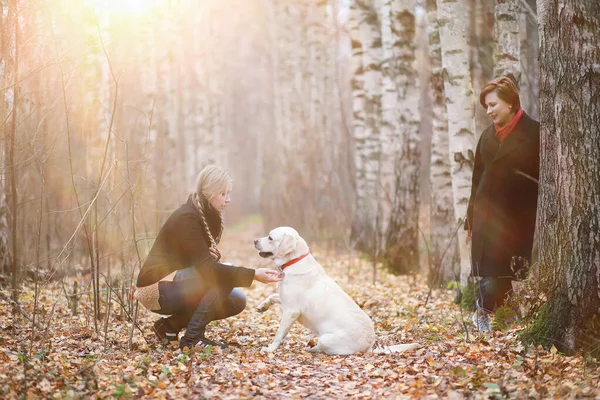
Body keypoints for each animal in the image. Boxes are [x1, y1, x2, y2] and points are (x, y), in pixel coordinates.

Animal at [255, 227, 420, 354]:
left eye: (270, 237)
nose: (255, 241)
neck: (293, 262)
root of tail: (370, 346)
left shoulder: (291, 310)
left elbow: (280, 333)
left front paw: (270, 349)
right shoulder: (285, 299)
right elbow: (272, 296)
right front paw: (262, 306)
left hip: (326, 339)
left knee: (321, 349)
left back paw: (309, 349)